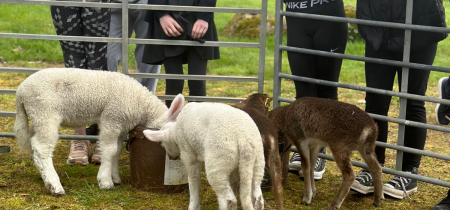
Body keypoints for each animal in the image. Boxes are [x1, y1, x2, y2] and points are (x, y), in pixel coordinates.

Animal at [13, 68, 185, 196]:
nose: (175, 157)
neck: (140, 104)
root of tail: (20, 91)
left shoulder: (119, 125)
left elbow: (117, 150)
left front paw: (115, 177)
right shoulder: (111, 119)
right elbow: (109, 150)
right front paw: (105, 181)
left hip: (37, 117)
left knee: (34, 145)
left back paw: (44, 176)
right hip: (45, 113)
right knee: (42, 148)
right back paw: (55, 186)